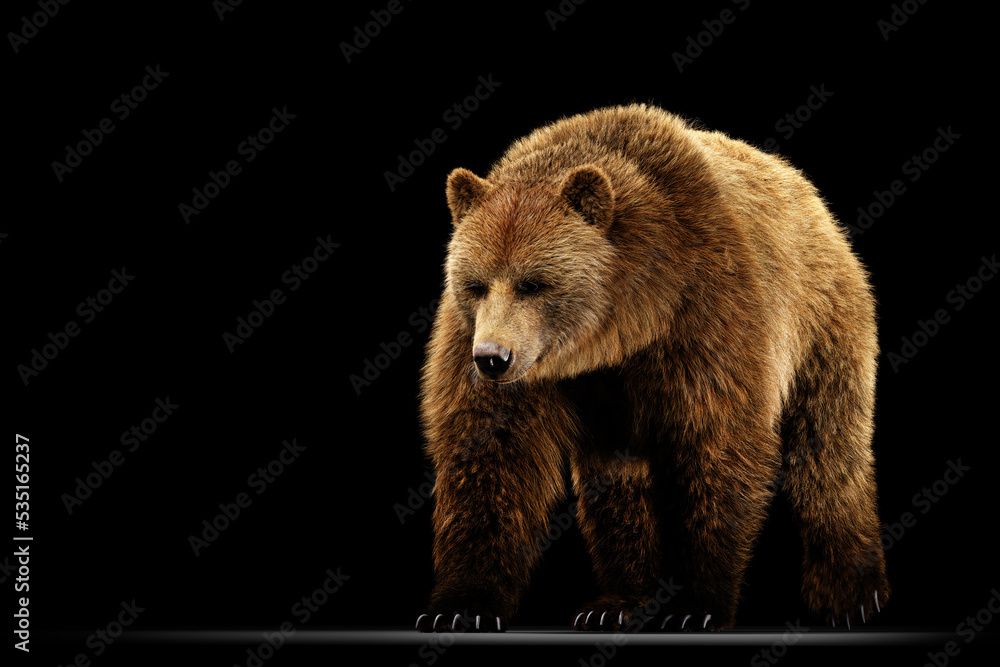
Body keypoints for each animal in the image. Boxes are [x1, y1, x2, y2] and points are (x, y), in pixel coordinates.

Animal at [414, 103, 889, 633]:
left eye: (533, 283)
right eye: (475, 284)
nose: (493, 358)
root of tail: (813, 200)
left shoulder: (707, 313)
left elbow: (716, 443)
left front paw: (694, 607)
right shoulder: (494, 356)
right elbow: (490, 453)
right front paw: (460, 606)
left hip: (823, 321)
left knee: (827, 451)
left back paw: (850, 593)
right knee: (620, 481)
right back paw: (618, 601)